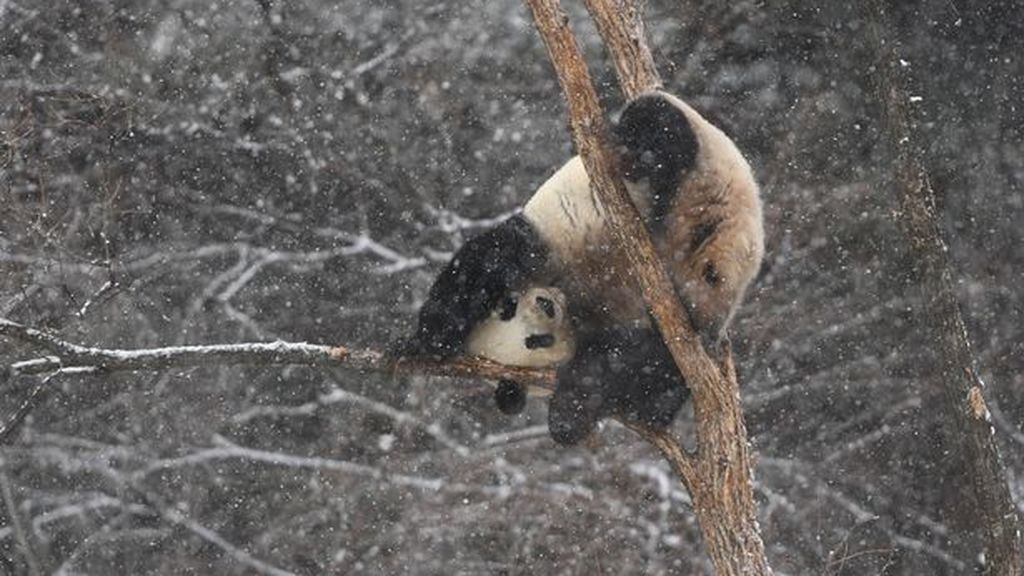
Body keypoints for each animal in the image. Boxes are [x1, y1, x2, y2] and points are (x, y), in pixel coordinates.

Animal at [403, 90, 765, 444]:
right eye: (535, 341)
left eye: (509, 307)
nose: (545, 305)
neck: (571, 295)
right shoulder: (607, 323)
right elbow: (629, 362)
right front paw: (571, 414)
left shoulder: (544, 247)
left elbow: (484, 264)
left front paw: (425, 341)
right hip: (701, 297)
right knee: (673, 357)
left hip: (703, 160)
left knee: (659, 126)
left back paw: (632, 156)